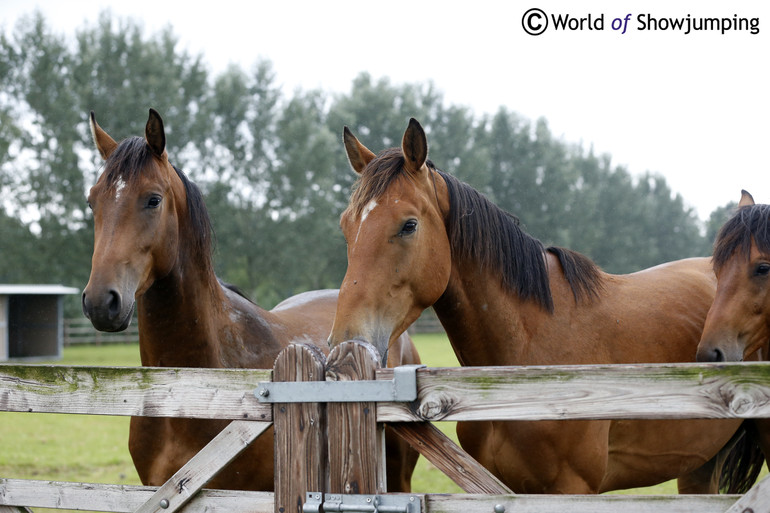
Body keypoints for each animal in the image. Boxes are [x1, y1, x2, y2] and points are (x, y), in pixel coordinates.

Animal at [328, 118, 760, 494]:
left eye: (409, 225)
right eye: (345, 226)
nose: (345, 340)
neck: (528, 351)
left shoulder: (572, 488)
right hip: (700, 463)